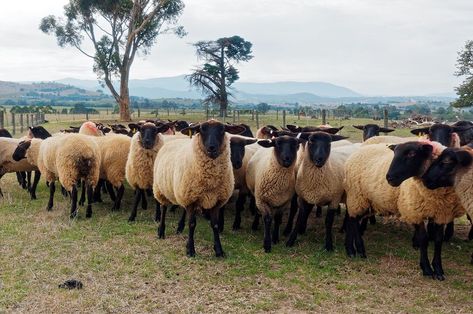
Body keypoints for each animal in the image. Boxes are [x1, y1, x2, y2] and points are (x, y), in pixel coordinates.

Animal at [153, 120, 245, 258]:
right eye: (201, 130)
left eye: (222, 130)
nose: (212, 147)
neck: (210, 180)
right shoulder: (192, 200)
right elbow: (192, 224)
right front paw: (190, 249)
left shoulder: (215, 201)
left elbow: (215, 225)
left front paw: (219, 250)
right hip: (161, 189)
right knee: (163, 208)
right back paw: (161, 231)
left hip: (183, 192)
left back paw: (180, 227)